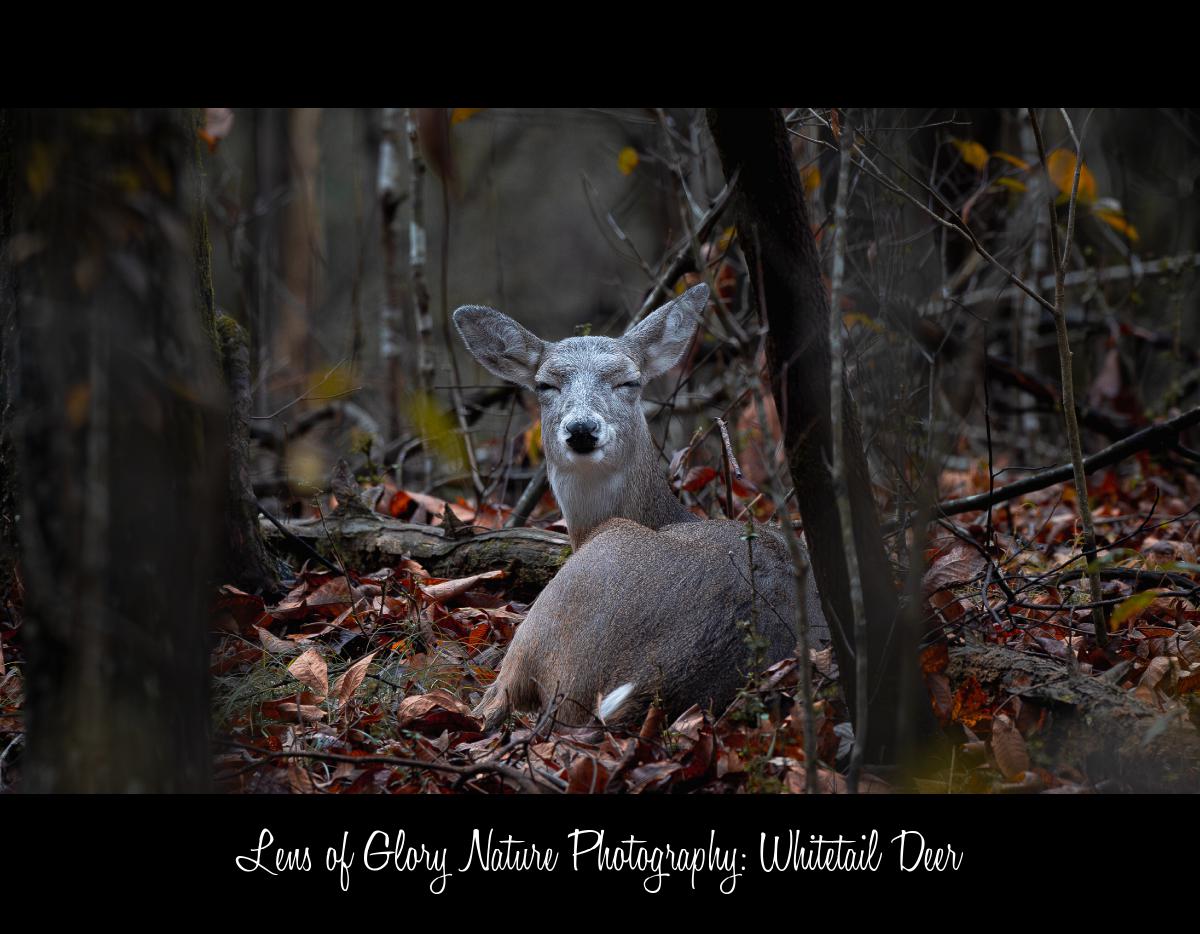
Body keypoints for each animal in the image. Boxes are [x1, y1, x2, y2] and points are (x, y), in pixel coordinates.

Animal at [453, 283, 828, 730]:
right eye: (546, 385)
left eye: (628, 381)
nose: (582, 429)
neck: (662, 513)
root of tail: (650, 681)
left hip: (563, 604)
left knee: (493, 702)